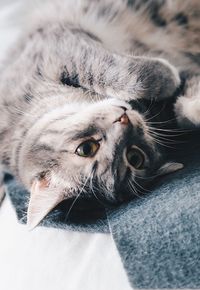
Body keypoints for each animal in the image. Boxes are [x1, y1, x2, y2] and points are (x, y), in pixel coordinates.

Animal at [0, 0, 199, 229]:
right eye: (135, 157)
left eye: (85, 148)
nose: (124, 119)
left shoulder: (55, 46)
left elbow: (122, 73)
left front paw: (167, 76)